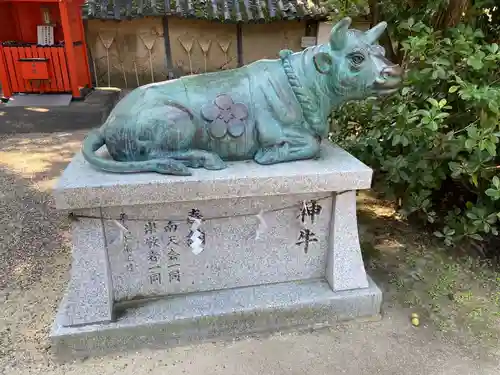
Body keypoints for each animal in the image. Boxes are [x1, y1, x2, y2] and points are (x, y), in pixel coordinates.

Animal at [82, 16, 402, 176]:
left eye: (381, 51)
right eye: (357, 58)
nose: (395, 72)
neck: (308, 86)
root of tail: (109, 122)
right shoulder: (273, 130)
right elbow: (310, 144)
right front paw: (270, 155)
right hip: (176, 120)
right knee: (156, 154)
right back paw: (204, 158)